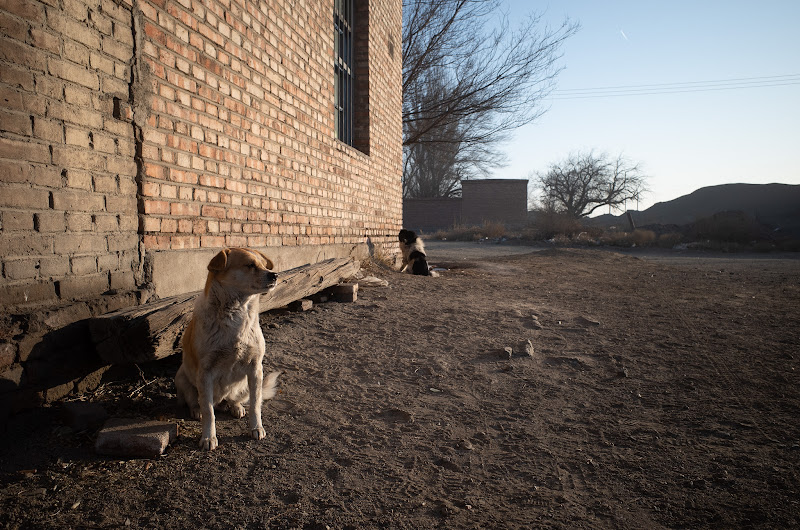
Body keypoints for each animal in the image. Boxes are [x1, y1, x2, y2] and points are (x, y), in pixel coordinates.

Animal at [175, 248, 282, 450]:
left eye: (264, 265)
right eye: (250, 265)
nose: (275, 275)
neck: (236, 314)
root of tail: (221, 401)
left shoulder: (255, 368)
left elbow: (255, 404)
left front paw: (256, 428)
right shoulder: (205, 373)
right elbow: (208, 411)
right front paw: (208, 438)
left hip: (244, 385)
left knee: (235, 400)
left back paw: (235, 407)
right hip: (181, 378)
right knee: (197, 403)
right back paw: (196, 411)